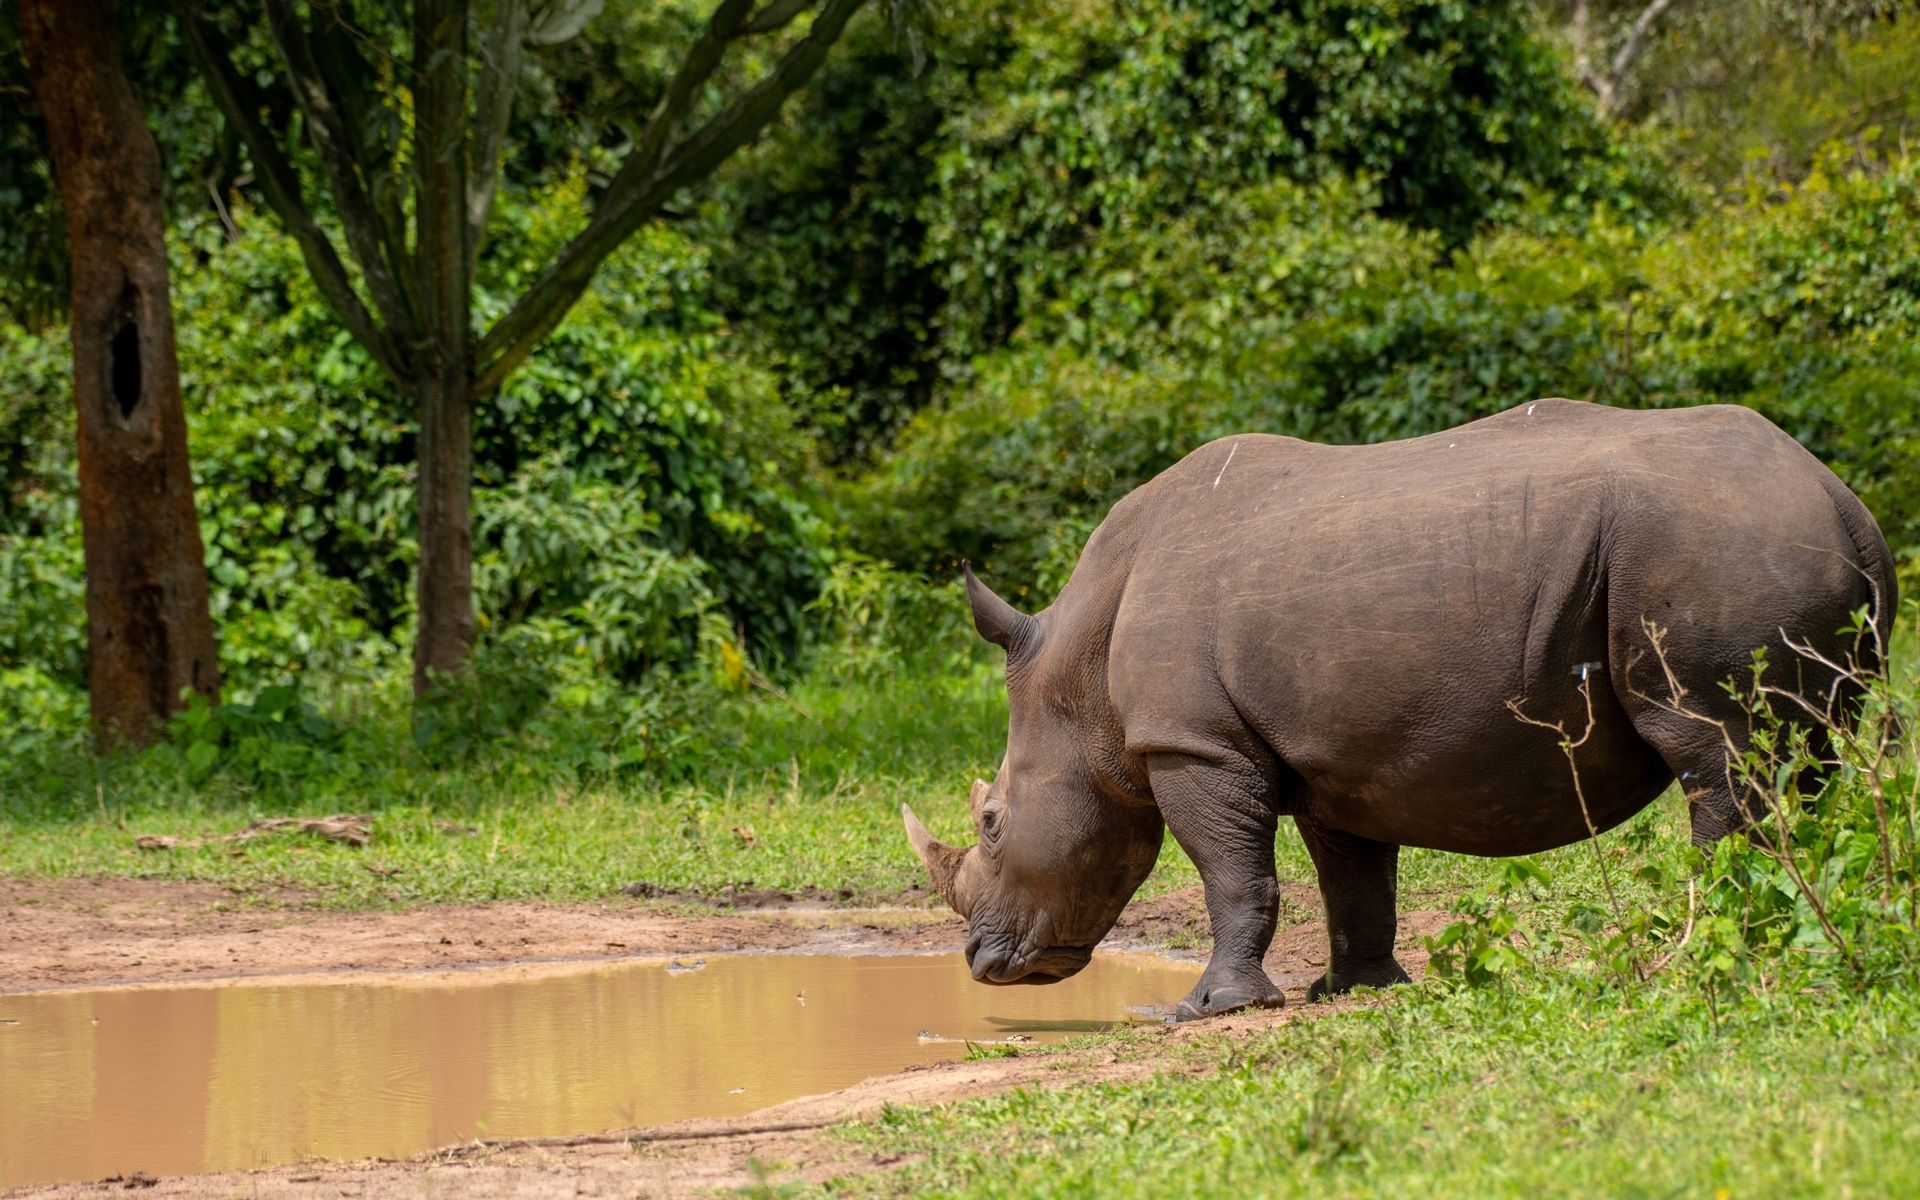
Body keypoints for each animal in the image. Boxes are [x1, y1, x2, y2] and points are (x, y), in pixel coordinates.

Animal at [903, 399, 1894, 1020]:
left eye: (992, 823)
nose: (988, 969)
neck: (1076, 681)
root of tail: (1843, 498)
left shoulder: (1192, 745)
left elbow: (1231, 874)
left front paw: (1205, 1009)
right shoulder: (1327, 756)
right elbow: (1351, 877)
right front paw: (1357, 991)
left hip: (1712, 544)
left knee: (1714, 755)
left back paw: (1700, 948)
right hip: (1760, 546)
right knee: (1809, 763)